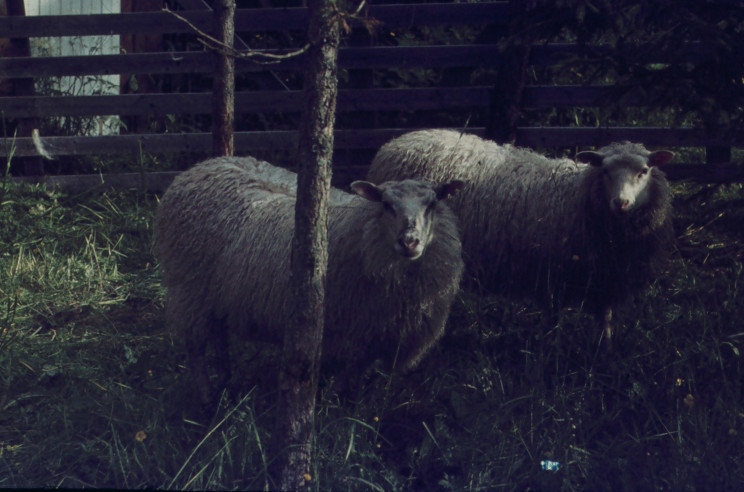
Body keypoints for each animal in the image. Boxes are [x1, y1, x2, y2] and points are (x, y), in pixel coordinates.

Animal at [154, 156, 462, 402]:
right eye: (386, 205)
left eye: (432, 204)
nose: (410, 241)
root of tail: (203, 166)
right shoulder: (350, 337)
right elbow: (345, 385)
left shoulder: (374, 337)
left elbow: (359, 387)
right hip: (189, 289)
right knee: (195, 347)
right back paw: (207, 398)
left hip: (215, 296)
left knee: (219, 337)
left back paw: (227, 381)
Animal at [370, 129, 676, 348]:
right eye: (606, 172)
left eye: (644, 172)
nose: (621, 202)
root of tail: (398, 142)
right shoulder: (551, 270)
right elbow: (552, 315)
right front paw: (549, 348)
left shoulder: (607, 275)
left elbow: (606, 317)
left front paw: (606, 350)